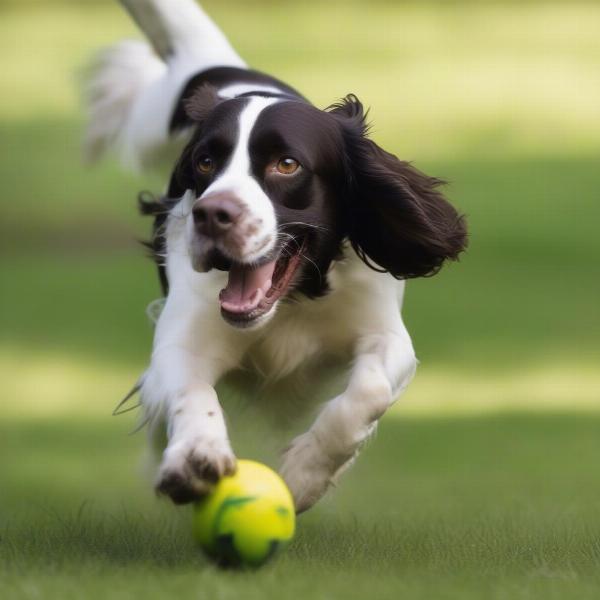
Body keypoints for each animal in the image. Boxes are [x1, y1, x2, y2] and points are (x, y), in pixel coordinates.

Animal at [85, 1, 468, 516]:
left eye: (287, 164)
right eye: (204, 162)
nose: (213, 215)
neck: (294, 302)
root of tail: (224, 67)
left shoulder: (384, 333)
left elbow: (366, 393)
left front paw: (305, 474)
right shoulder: (183, 340)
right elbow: (190, 391)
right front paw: (195, 459)